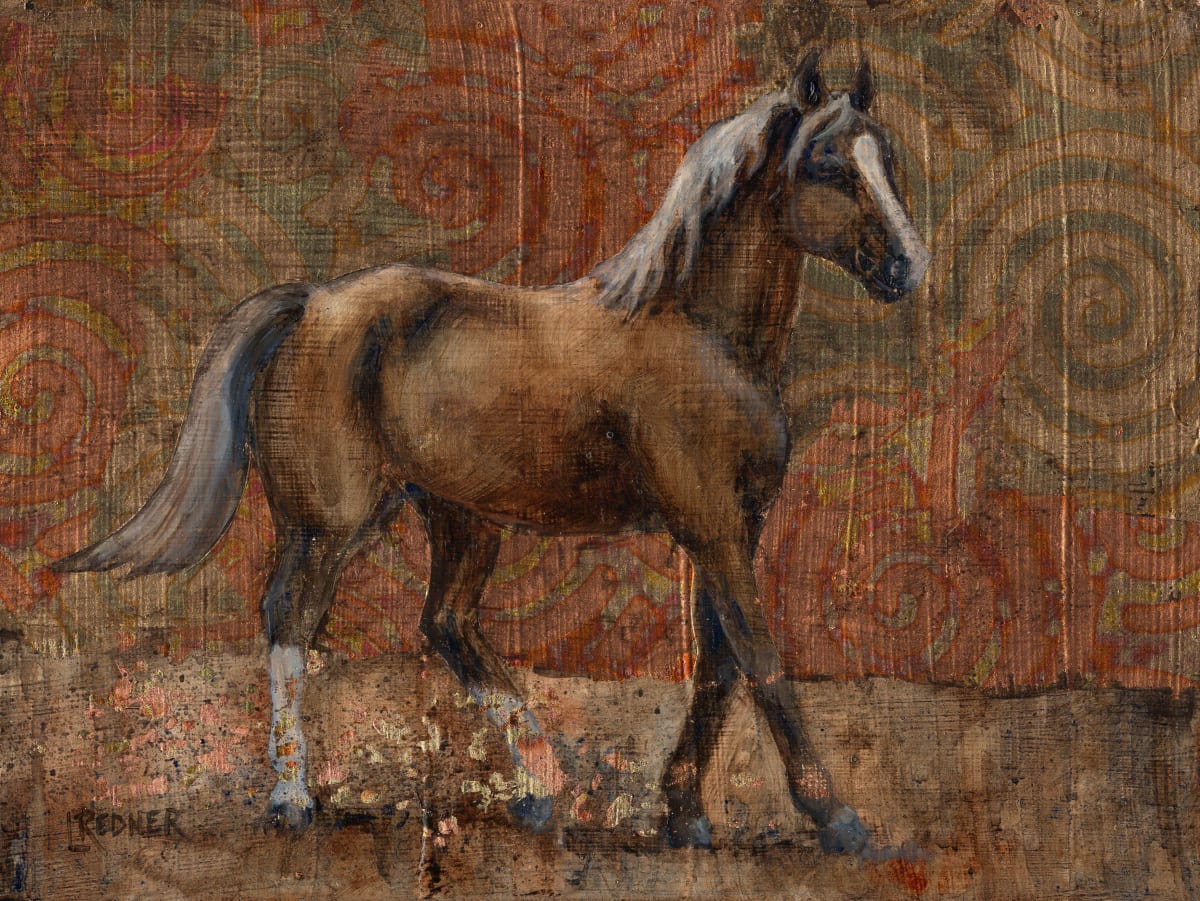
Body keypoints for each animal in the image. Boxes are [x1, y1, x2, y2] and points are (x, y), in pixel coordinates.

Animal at [55, 50, 930, 855]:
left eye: (885, 158)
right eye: (827, 164)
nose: (908, 267)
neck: (700, 334)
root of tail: (311, 305)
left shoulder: (734, 527)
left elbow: (720, 666)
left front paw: (684, 813)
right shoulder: (710, 526)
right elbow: (761, 658)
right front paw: (838, 817)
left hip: (462, 517)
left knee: (446, 624)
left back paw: (540, 787)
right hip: (330, 523)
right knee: (291, 620)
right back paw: (295, 800)